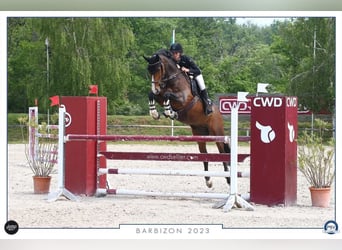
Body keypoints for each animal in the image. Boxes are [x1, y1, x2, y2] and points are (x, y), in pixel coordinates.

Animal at [143, 48, 231, 188]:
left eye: (158, 69)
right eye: (149, 70)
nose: (156, 88)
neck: (172, 79)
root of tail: (218, 113)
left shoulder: (183, 99)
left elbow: (168, 94)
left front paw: (170, 112)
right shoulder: (160, 95)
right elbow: (152, 95)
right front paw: (155, 113)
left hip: (217, 133)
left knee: (222, 153)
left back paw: (228, 179)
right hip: (199, 134)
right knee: (204, 154)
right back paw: (208, 180)